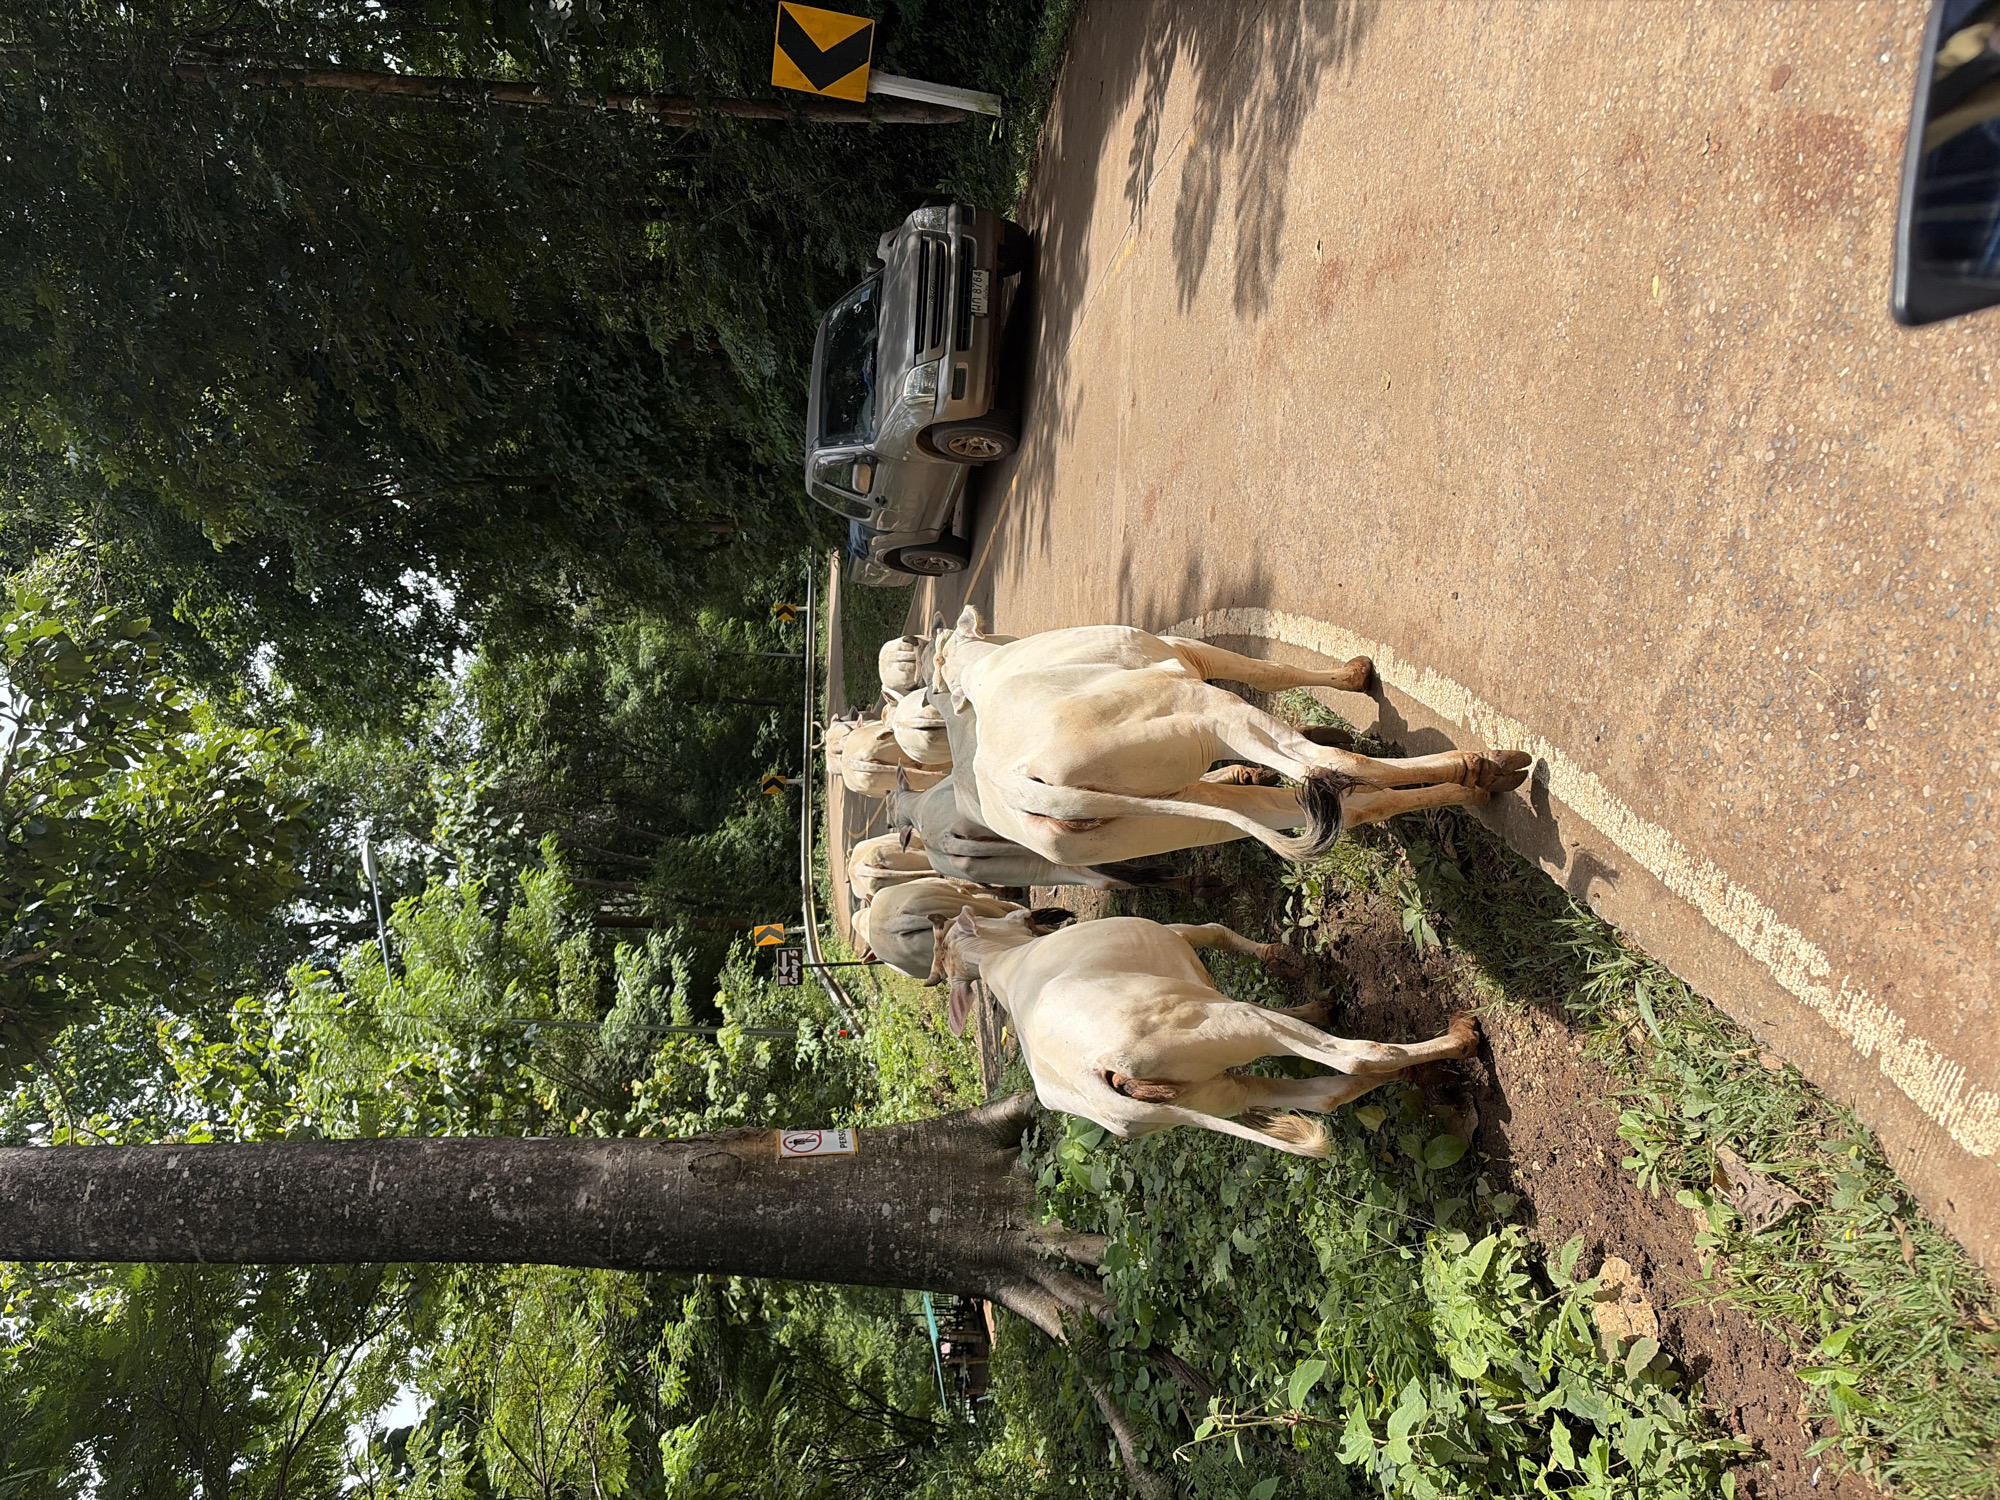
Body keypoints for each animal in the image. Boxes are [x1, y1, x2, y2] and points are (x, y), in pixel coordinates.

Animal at [926, 907, 1481, 1157]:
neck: (1000, 964)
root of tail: (1098, 1081)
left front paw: (1313, 1001)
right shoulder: (1175, 935)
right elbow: (1213, 931)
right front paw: (1277, 956)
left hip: (1218, 1093)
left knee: (1324, 1093)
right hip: (1230, 1024)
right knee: (1353, 1056)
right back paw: (1459, 1038)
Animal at [943, 611, 1531, 866]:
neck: (976, 667)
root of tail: (1018, 785)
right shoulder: (1191, 653)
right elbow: (1270, 672)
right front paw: (1355, 676)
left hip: (1181, 819)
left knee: (1339, 806)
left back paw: (1474, 785)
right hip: (1210, 714)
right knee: (1337, 766)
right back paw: (1486, 767)